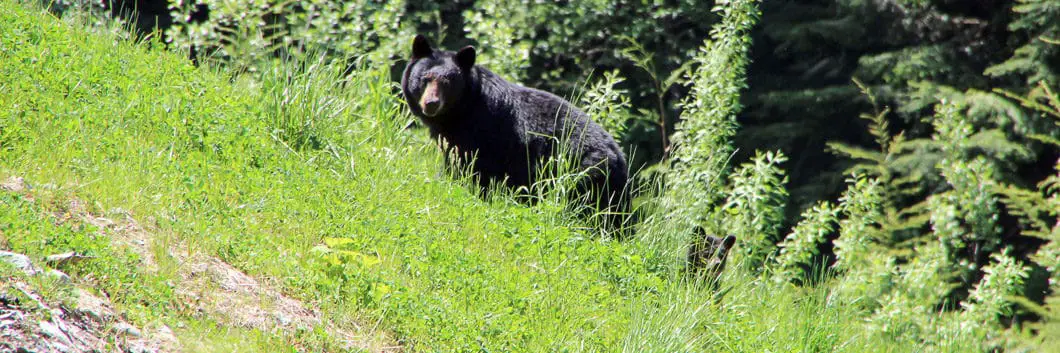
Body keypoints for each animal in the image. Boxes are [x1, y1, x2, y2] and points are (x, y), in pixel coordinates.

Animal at [398, 34, 627, 232]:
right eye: (425, 78)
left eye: (448, 82)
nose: (431, 103)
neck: (462, 109)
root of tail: (619, 157)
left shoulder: (480, 135)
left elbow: (468, 170)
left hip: (580, 175)